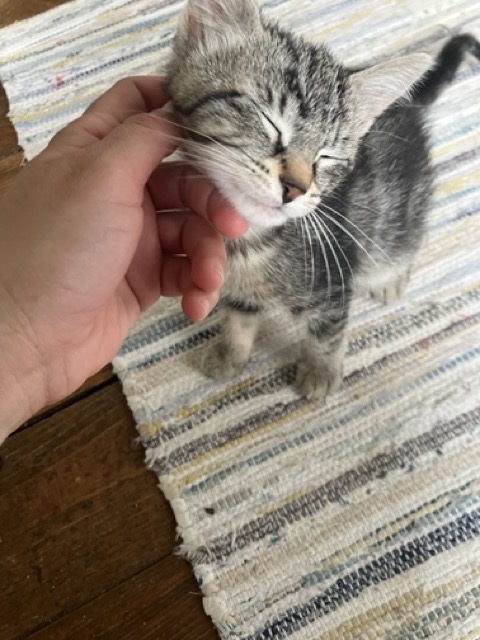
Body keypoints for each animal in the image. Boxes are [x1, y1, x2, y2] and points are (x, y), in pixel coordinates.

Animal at [167, 0, 480, 401]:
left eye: (327, 156)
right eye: (270, 122)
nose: (295, 188)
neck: (251, 241)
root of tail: (407, 105)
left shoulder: (335, 277)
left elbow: (328, 331)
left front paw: (320, 372)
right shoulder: (237, 286)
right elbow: (240, 315)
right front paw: (229, 353)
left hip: (399, 214)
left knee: (400, 242)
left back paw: (391, 278)